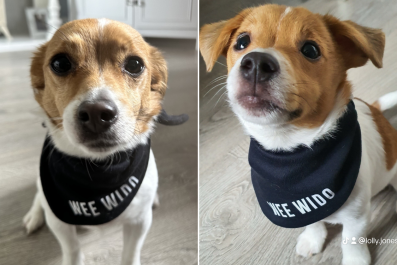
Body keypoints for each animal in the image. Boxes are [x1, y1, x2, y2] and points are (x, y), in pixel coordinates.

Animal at [23, 18, 187, 264]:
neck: (99, 170)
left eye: (135, 64)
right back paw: (34, 215)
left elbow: (130, 254)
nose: (96, 113)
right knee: (38, 195)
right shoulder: (60, 224)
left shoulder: (140, 222)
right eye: (60, 63)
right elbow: (72, 250)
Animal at [201, 4, 396, 264]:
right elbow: (313, 223)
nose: (256, 63)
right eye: (242, 42)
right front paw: (313, 238)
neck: (290, 150)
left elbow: (351, 240)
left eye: (310, 50)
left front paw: (355, 259)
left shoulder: (356, 217)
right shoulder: (304, 211)